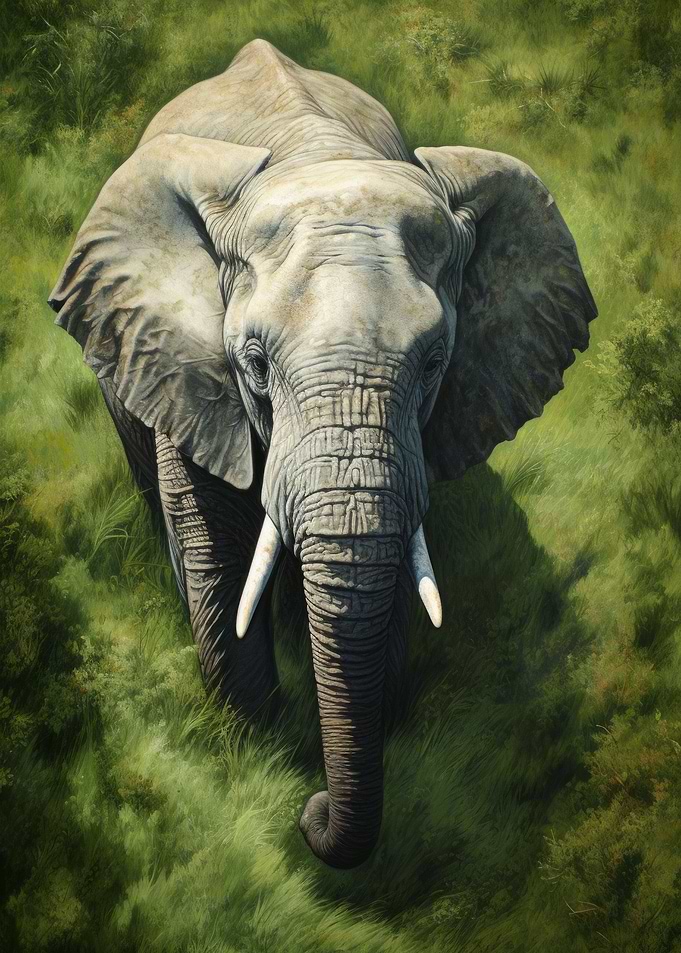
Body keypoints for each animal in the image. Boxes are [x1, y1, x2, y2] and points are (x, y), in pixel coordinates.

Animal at [49, 39, 597, 869]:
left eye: (434, 363)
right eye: (252, 363)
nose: (309, 812)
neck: (316, 157)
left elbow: (397, 553)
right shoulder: (186, 368)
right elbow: (218, 548)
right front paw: (257, 743)